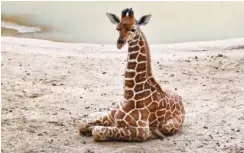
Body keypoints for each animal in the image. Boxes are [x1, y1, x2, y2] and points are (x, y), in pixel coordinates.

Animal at [78, 8, 185, 142]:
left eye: (133, 29)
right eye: (117, 28)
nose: (120, 43)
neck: (130, 95)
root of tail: (181, 100)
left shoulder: (141, 131)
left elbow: (97, 131)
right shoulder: (112, 115)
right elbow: (82, 124)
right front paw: (89, 127)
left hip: (168, 125)